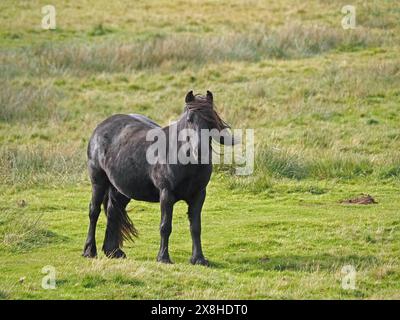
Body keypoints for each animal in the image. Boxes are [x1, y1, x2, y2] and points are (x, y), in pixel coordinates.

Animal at [83, 90, 233, 264]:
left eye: (211, 121)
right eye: (190, 119)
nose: (200, 151)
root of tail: (101, 127)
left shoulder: (198, 195)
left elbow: (196, 227)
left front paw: (199, 259)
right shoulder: (166, 194)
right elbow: (165, 226)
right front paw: (163, 258)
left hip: (121, 189)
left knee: (113, 211)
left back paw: (113, 251)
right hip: (98, 182)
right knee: (94, 212)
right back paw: (89, 251)